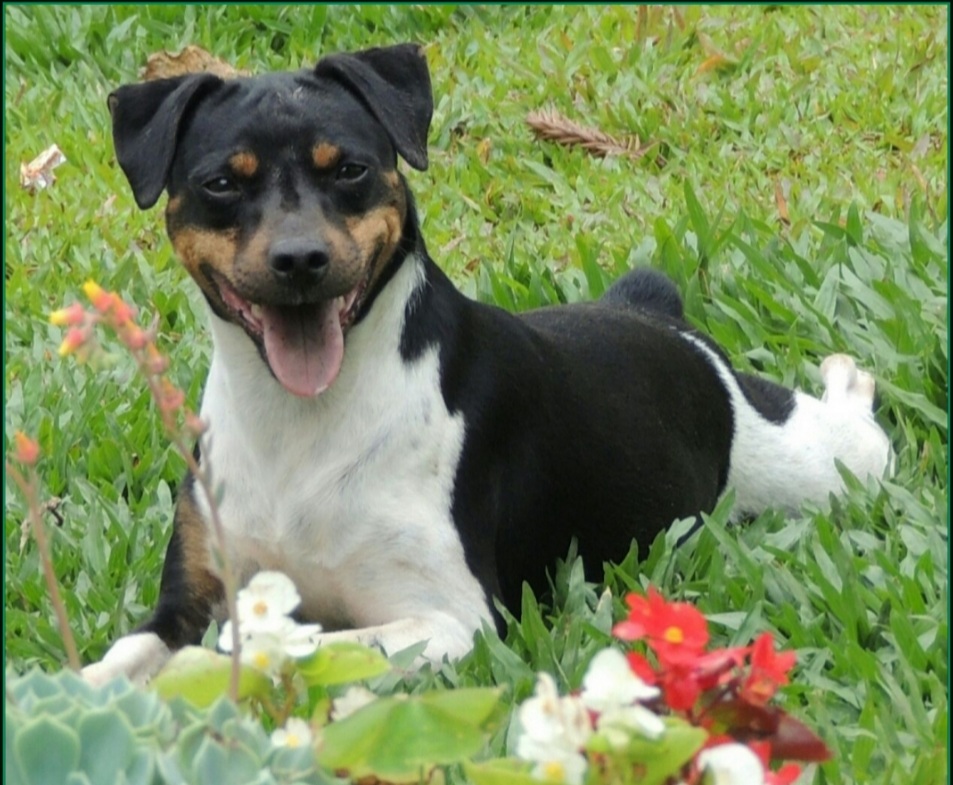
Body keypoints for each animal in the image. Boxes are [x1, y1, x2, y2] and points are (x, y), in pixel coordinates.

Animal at [83, 43, 892, 684]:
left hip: (816, 465)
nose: (300, 260)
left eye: (349, 170)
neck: (302, 416)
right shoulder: (189, 599)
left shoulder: (450, 618)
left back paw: (848, 379)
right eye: (222, 183)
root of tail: (657, 314)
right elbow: (124, 656)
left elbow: (291, 647)